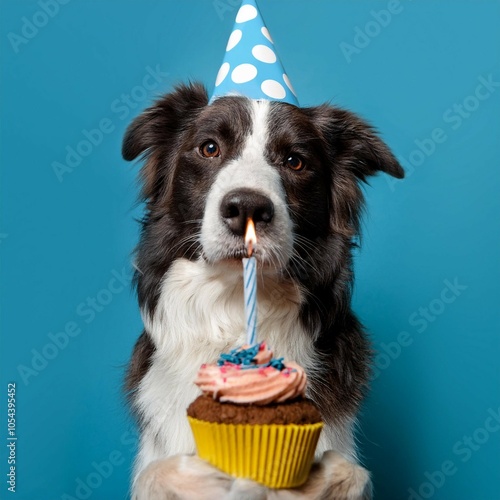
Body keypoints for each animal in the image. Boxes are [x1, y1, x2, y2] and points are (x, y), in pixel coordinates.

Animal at [123, 84, 404, 498]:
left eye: (295, 161)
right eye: (209, 148)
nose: (247, 207)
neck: (235, 308)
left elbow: (351, 474)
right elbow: (154, 474)